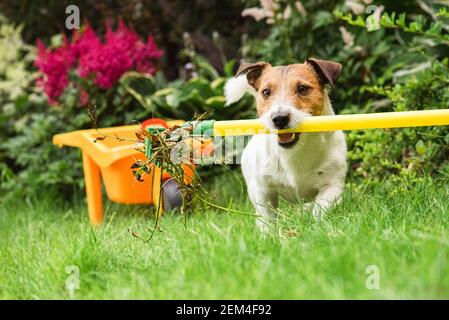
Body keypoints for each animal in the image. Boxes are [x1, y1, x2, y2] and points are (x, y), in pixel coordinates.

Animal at [224, 58, 346, 231]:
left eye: (302, 89)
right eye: (266, 92)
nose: (279, 118)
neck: (295, 152)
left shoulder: (332, 186)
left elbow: (319, 209)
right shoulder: (263, 192)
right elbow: (268, 219)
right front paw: (269, 234)